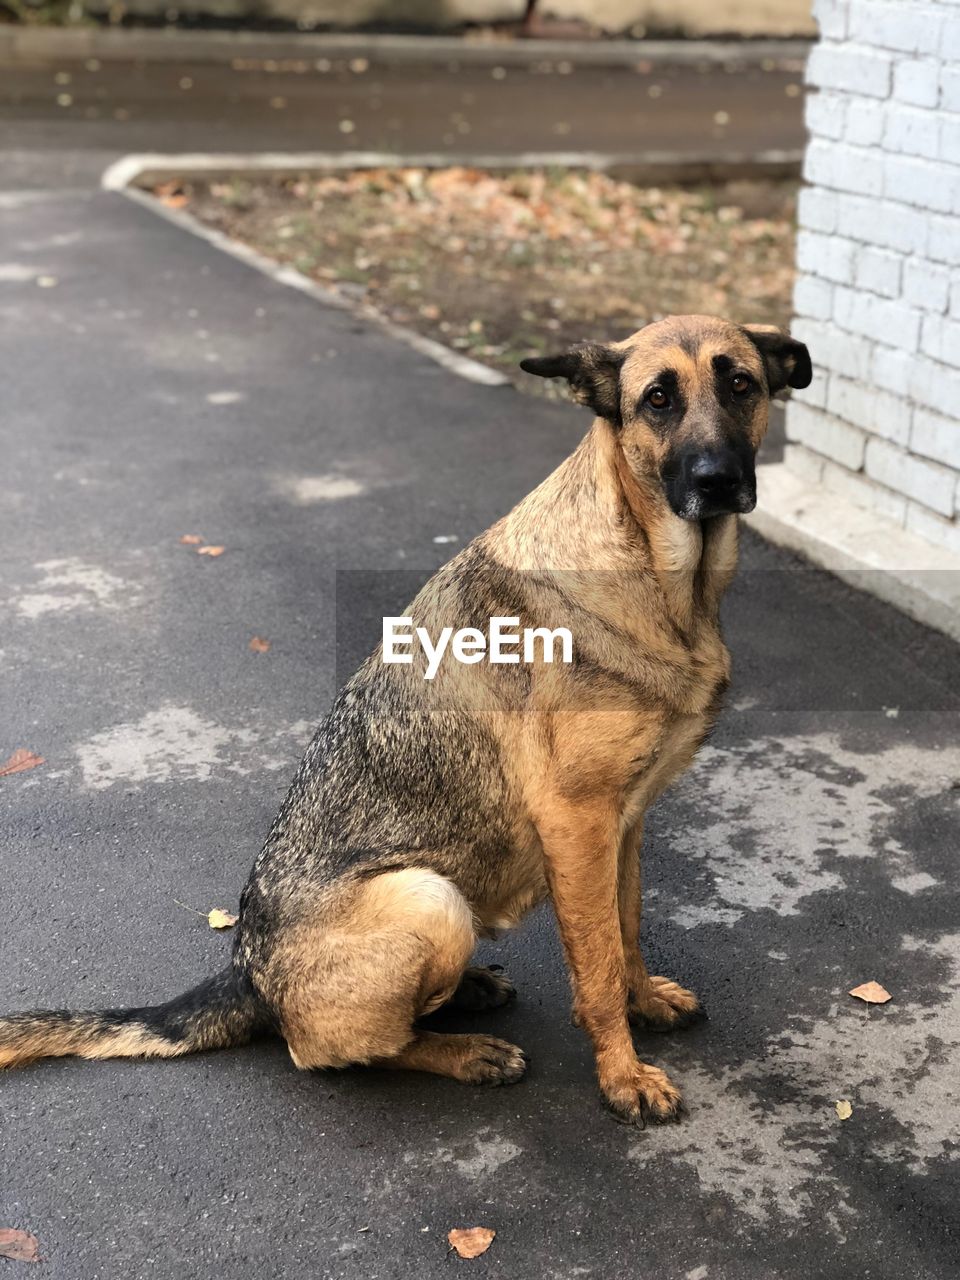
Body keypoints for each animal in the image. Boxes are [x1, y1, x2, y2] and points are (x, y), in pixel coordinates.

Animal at [0, 314, 814, 1126]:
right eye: (657, 400)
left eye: (741, 384)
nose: (718, 482)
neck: (658, 575)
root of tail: (247, 974)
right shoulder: (578, 823)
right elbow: (598, 966)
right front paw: (620, 1074)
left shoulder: (624, 825)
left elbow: (628, 932)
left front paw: (645, 1003)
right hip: (429, 899)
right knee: (331, 1051)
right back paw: (464, 1051)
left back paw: (471, 995)